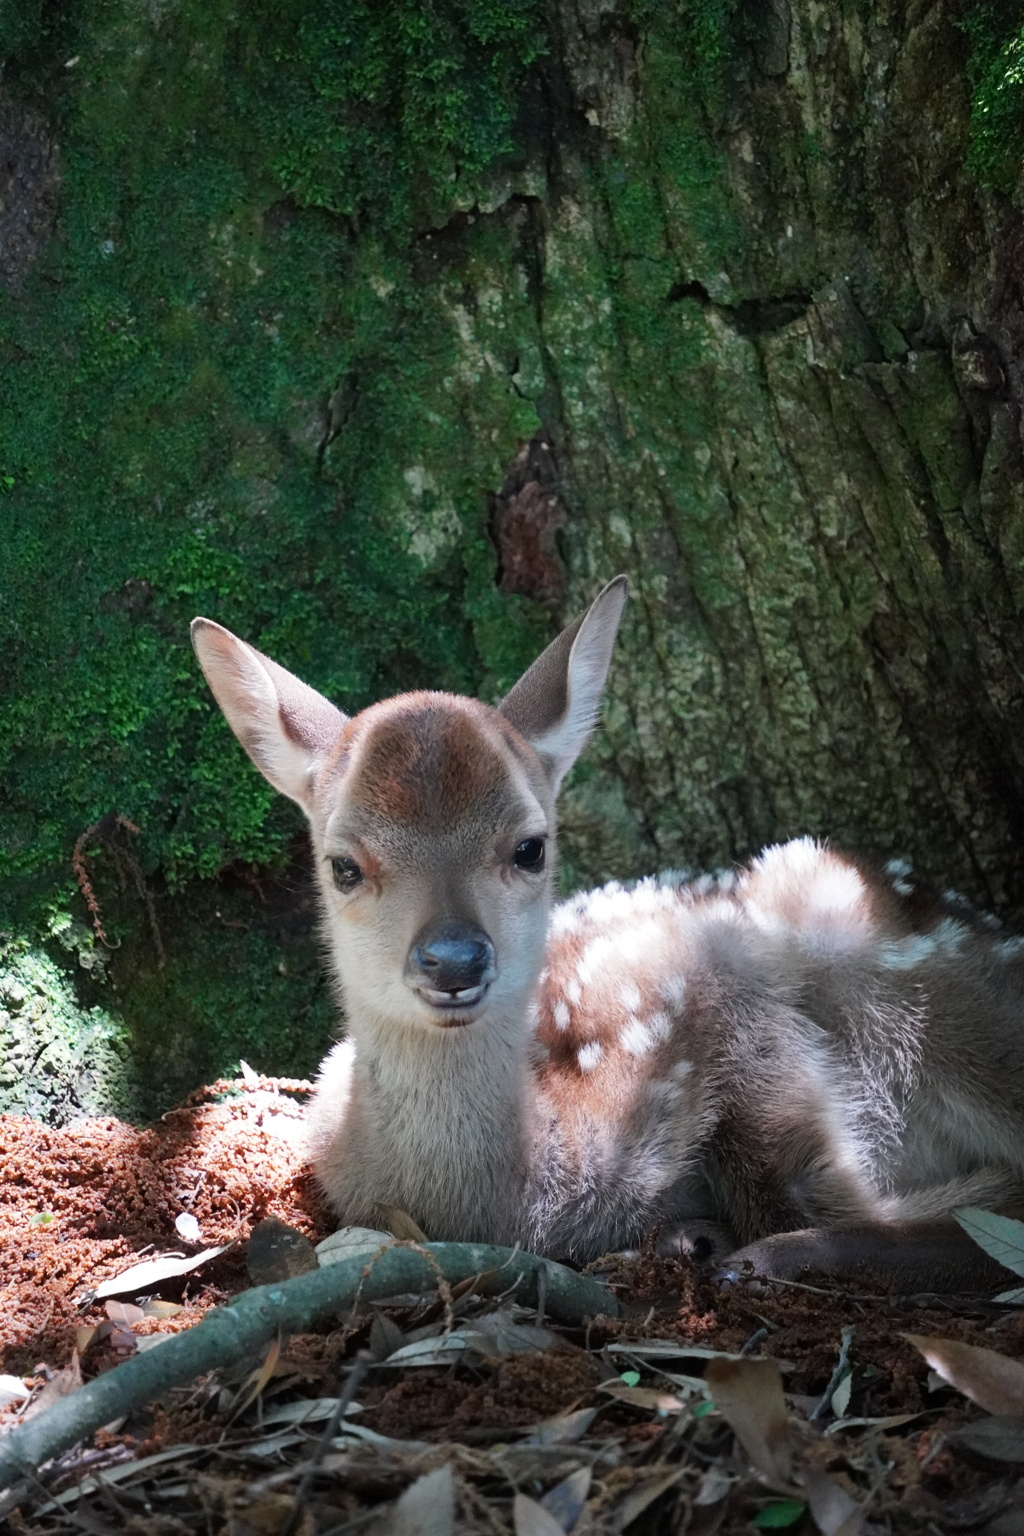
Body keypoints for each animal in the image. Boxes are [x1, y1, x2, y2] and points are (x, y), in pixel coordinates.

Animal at [190, 580, 1024, 1290]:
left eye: (530, 847)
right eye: (344, 866)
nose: (454, 961)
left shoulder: (736, 1009)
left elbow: (804, 1187)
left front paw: (731, 1244)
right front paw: (696, 1235)